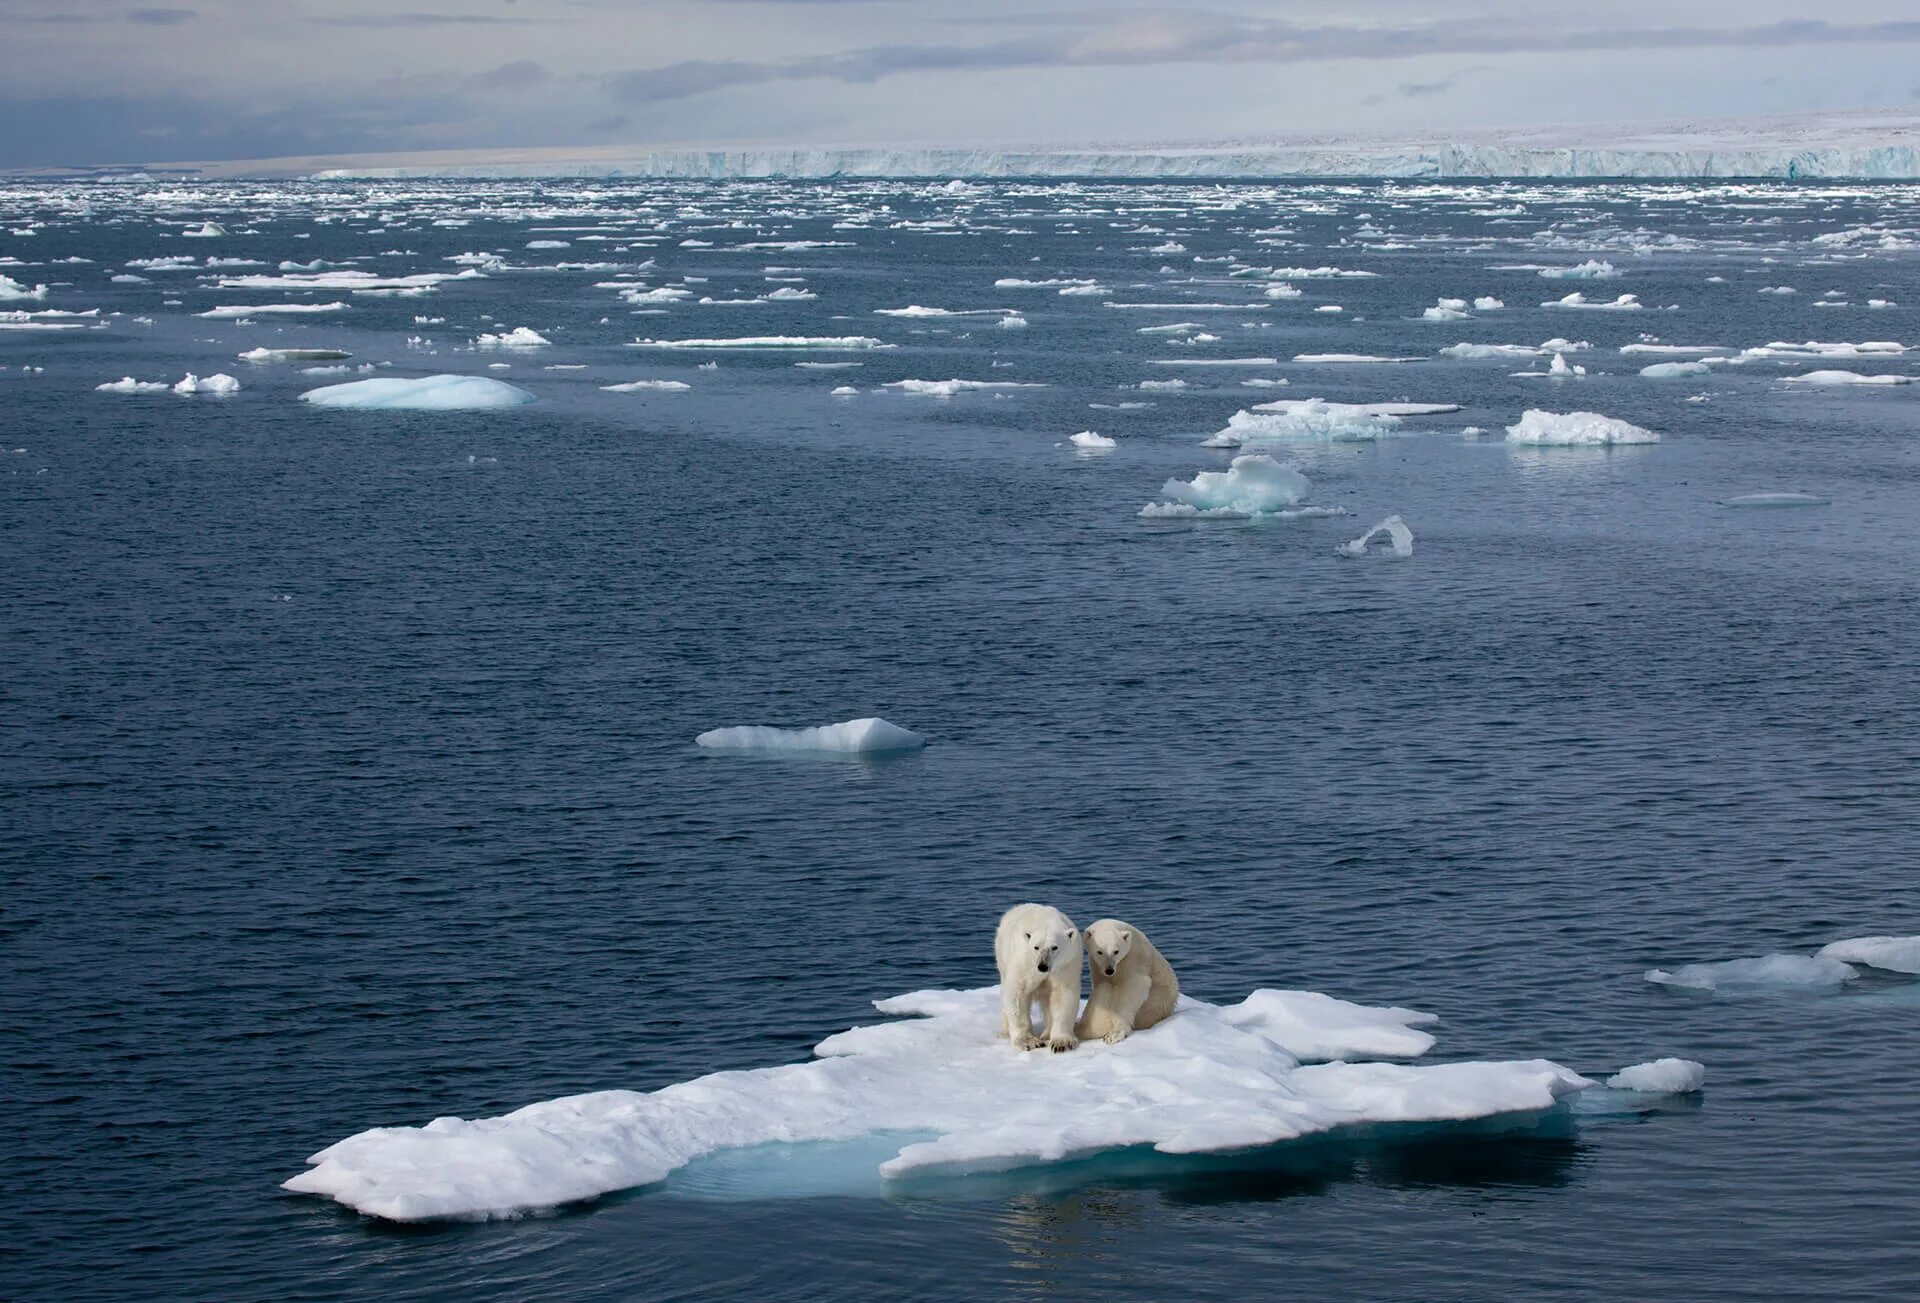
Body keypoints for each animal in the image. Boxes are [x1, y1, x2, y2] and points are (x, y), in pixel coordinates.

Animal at [998, 905, 1090, 1059]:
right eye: (1036, 947)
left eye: (1054, 947)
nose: (1043, 966)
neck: (1046, 921)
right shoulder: (1025, 962)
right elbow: (1017, 993)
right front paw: (1029, 1042)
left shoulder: (1066, 964)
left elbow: (1062, 995)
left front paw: (1061, 1043)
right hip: (1002, 958)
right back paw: (1005, 1031)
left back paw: (1046, 1034)